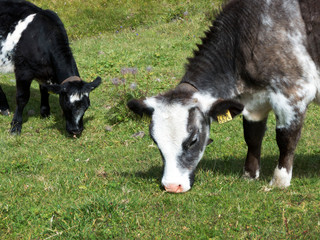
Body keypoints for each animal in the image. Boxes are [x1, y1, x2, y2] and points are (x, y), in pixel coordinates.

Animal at [0, 0, 101, 135]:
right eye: (66, 104)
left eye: (86, 106)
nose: (76, 130)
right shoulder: (23, 71)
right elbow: (22, 98)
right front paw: (16, 126)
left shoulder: (46, 73)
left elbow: (45, 90)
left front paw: (45, 113)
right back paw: (4, 108)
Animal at [127, 0, 320, 192]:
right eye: (155, 141)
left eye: (193, 140)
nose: (172, 186)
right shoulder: (253, 101)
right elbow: (252, 136)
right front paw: (249, 175)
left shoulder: (293, 91)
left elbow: (286, 138)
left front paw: (280, 181)